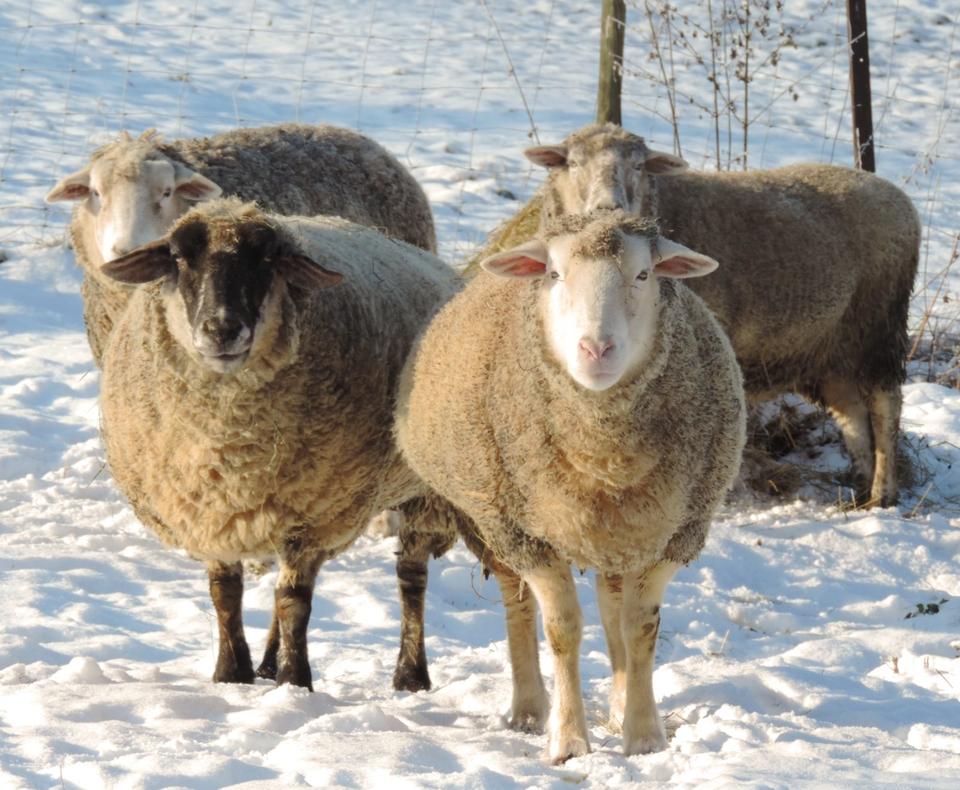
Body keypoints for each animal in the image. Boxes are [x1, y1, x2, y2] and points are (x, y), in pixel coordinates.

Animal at [98, 198, 459, 690]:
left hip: (424, 491)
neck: (230, 445)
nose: (222, 329)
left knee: (411, 577)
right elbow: (225, 594)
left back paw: (410, 675)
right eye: (177, 257)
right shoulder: (210, 510)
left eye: (267, 259)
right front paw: (231, 674)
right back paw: (268, 663)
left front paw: (295, 682)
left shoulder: (311, 515)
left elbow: (294, 600)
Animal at [395, 210, 746, 761]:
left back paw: (619, 704)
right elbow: (562, 629)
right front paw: (569, 740)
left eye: (644, 274)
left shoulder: (677, 531)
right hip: (491, 523)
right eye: (555, 274)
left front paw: (643, 735)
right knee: (519, 606)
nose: (596, 349)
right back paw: (529, 709)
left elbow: (638, 627)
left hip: (620, 531)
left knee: (611, 606)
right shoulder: (523, 532)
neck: (604, 455)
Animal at [472, 123, 920, 508]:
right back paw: (859, 487)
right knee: (853, 413)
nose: (608, 206)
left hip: (879, 328)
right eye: (573, 163)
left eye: (639, 165)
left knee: (886, 407)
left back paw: (883, 492)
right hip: (831, 347)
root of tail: (894, 193)